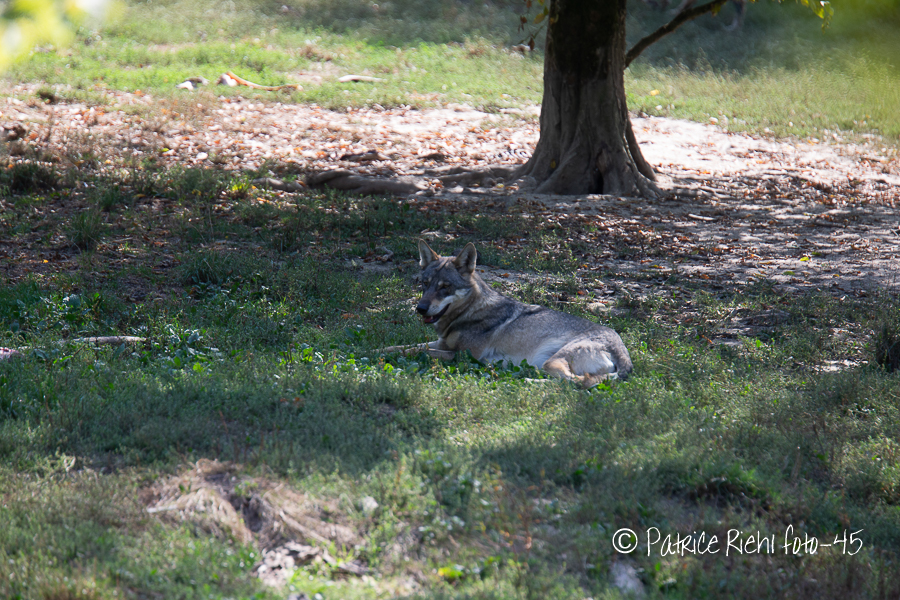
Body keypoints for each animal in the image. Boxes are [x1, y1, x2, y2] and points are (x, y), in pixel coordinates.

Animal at [381, 240, 633, 387]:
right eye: (425, 284)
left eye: (445, 287)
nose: (420, 308)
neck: (470, 311)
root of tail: (623, 351)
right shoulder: (443, 343)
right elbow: (401, 347)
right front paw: (375, 351)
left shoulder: (462, 355)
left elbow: (420, 351)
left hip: (552, 363)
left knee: (574, 383)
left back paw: (524, 381)